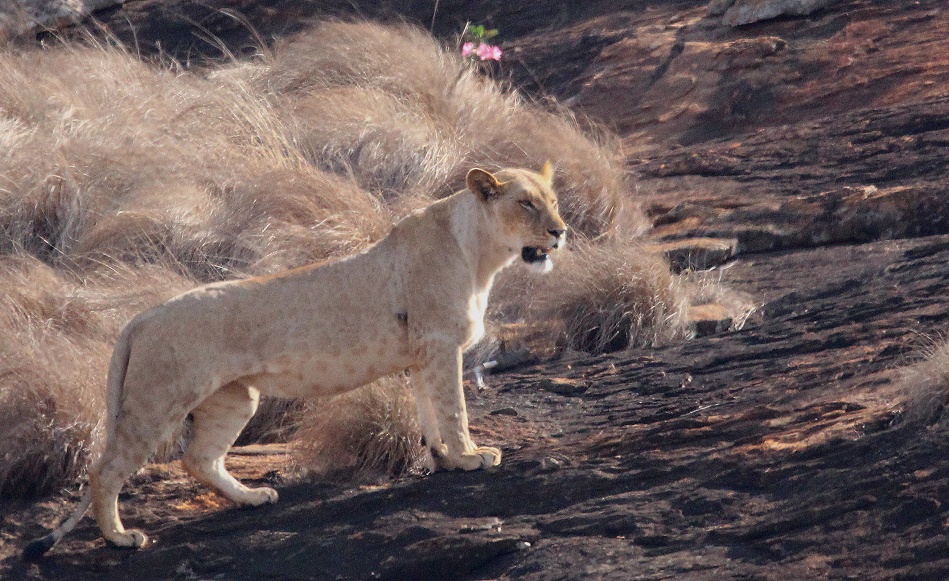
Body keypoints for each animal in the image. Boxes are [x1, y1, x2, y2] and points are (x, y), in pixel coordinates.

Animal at [23, 163, 567, 559]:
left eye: (555, 201)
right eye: (526, 203)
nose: (560, 232)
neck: (481, 255)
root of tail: (140, 317)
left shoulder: (422, 356)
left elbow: (431, 415)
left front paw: (446, 461)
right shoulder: (439, 344)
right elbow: (454, 409)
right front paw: (472, 457)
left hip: (235, 399)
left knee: (198, 458)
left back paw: (252, 498)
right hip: (159, 401)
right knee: (106, 470)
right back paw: (120, 538)